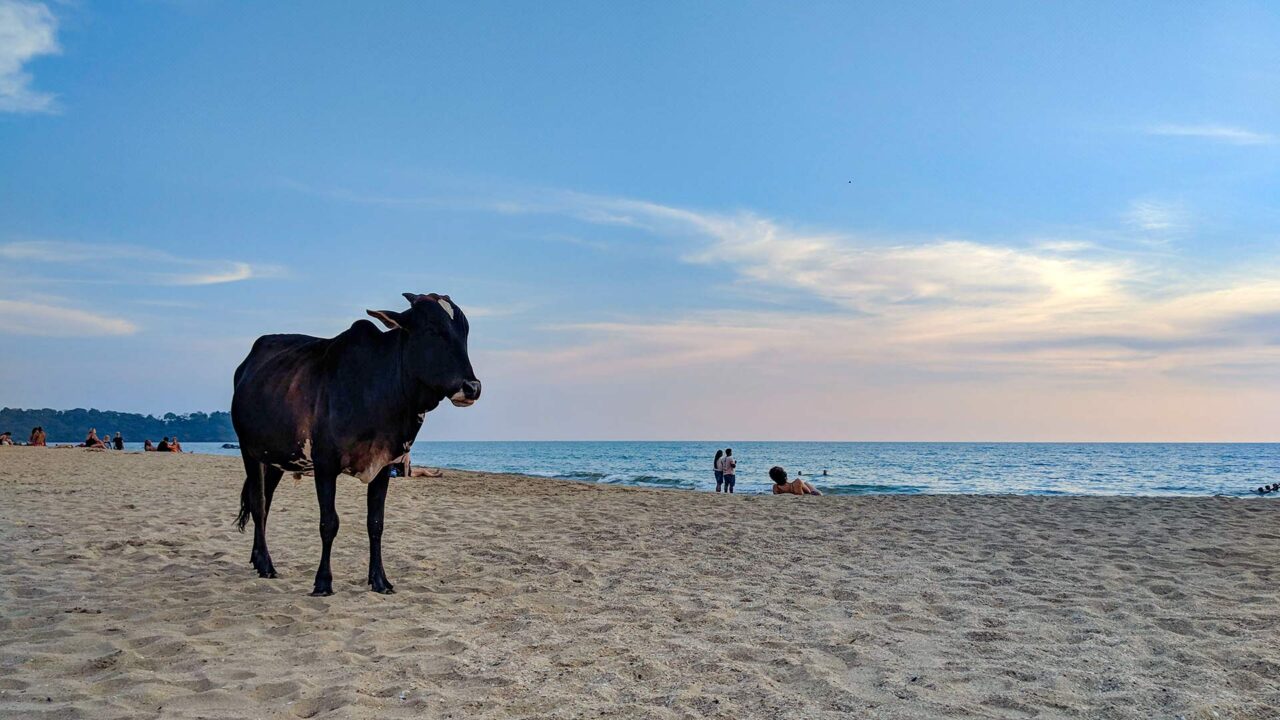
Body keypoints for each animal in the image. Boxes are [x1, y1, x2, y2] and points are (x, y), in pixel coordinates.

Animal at [230, 292, 481, 594]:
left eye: (464, 332)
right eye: (432, 329)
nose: (472, 387)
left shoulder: (384, 465)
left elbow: (376, 523)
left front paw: (380, 580)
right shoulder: (325, 465)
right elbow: (329, 523)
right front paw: (323, 581)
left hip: (277, 459)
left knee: (265, 504)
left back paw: (259, 560)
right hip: (249, 451)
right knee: (259, 502)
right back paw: (266, 564)